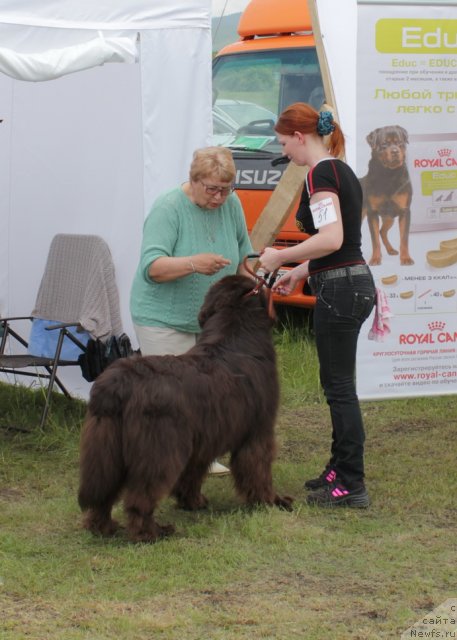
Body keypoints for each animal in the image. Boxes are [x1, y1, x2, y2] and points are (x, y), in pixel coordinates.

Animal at [78, 272, 292, 544]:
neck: (234, 336)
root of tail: (116, 384)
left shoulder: (202, 438)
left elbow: (193, 473)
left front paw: (193, 502)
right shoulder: (258, 431)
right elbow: (259, 469)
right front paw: (271, 501)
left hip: (105, 449)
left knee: (103, 492)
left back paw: (102, 526)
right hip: (159, 450)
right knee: (140, 497)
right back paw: (151, 533)